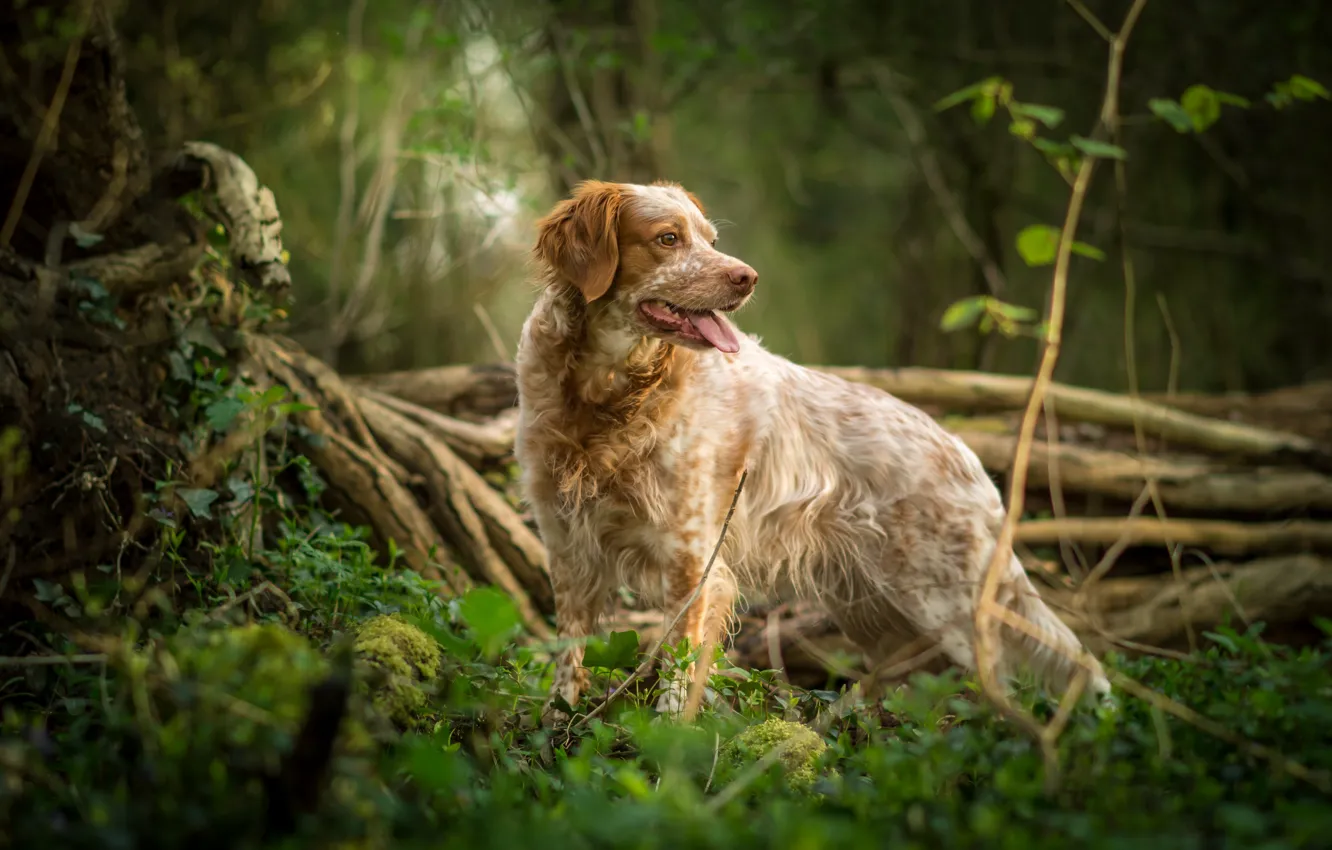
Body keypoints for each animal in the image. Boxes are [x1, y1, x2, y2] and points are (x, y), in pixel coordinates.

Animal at [511, 179, 1113, 724]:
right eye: (668, 238)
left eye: (709, 239)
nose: (747, 277)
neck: (606, 398)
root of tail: (966, 454)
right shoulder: (566, 548)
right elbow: (567, 653)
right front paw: (554, 724)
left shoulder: (694, 563)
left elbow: (677, 674)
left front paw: (665, 744)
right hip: (877, 613)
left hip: (949, 604)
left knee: (1008, 689)